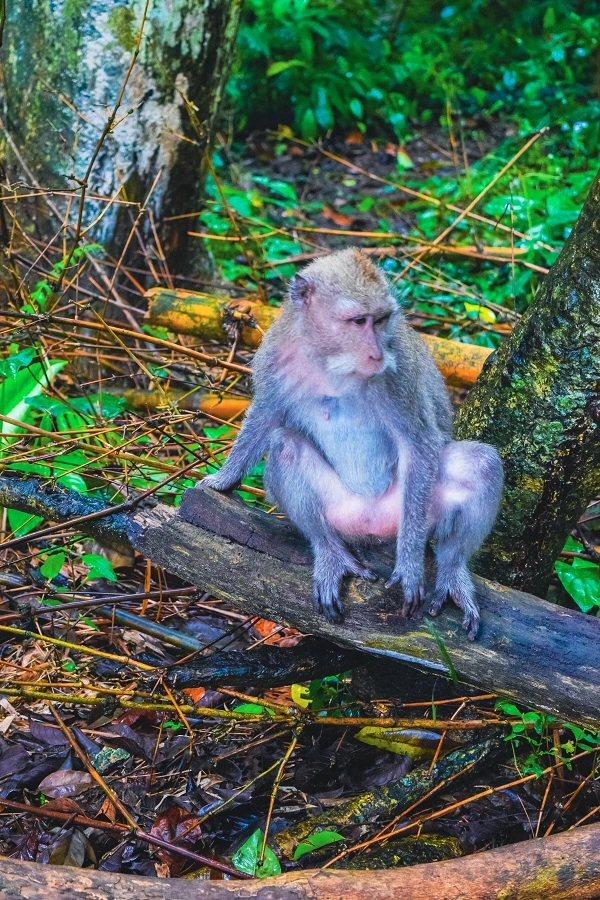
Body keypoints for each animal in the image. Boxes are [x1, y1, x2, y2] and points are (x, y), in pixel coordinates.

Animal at [200, 248, 503, 639]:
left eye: (382, 320)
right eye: (359, 321)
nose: (376, 353)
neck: (332, 361)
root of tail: (373, 525)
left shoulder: (398, 374)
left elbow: (419, 444)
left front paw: (409, 565)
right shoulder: (275, 356)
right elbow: (266, 415)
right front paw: (224, 478)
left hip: (411, 513)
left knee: (481, 465)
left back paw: (451, 572)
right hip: (342, 512)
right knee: (286, 448)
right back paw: (330, 552)